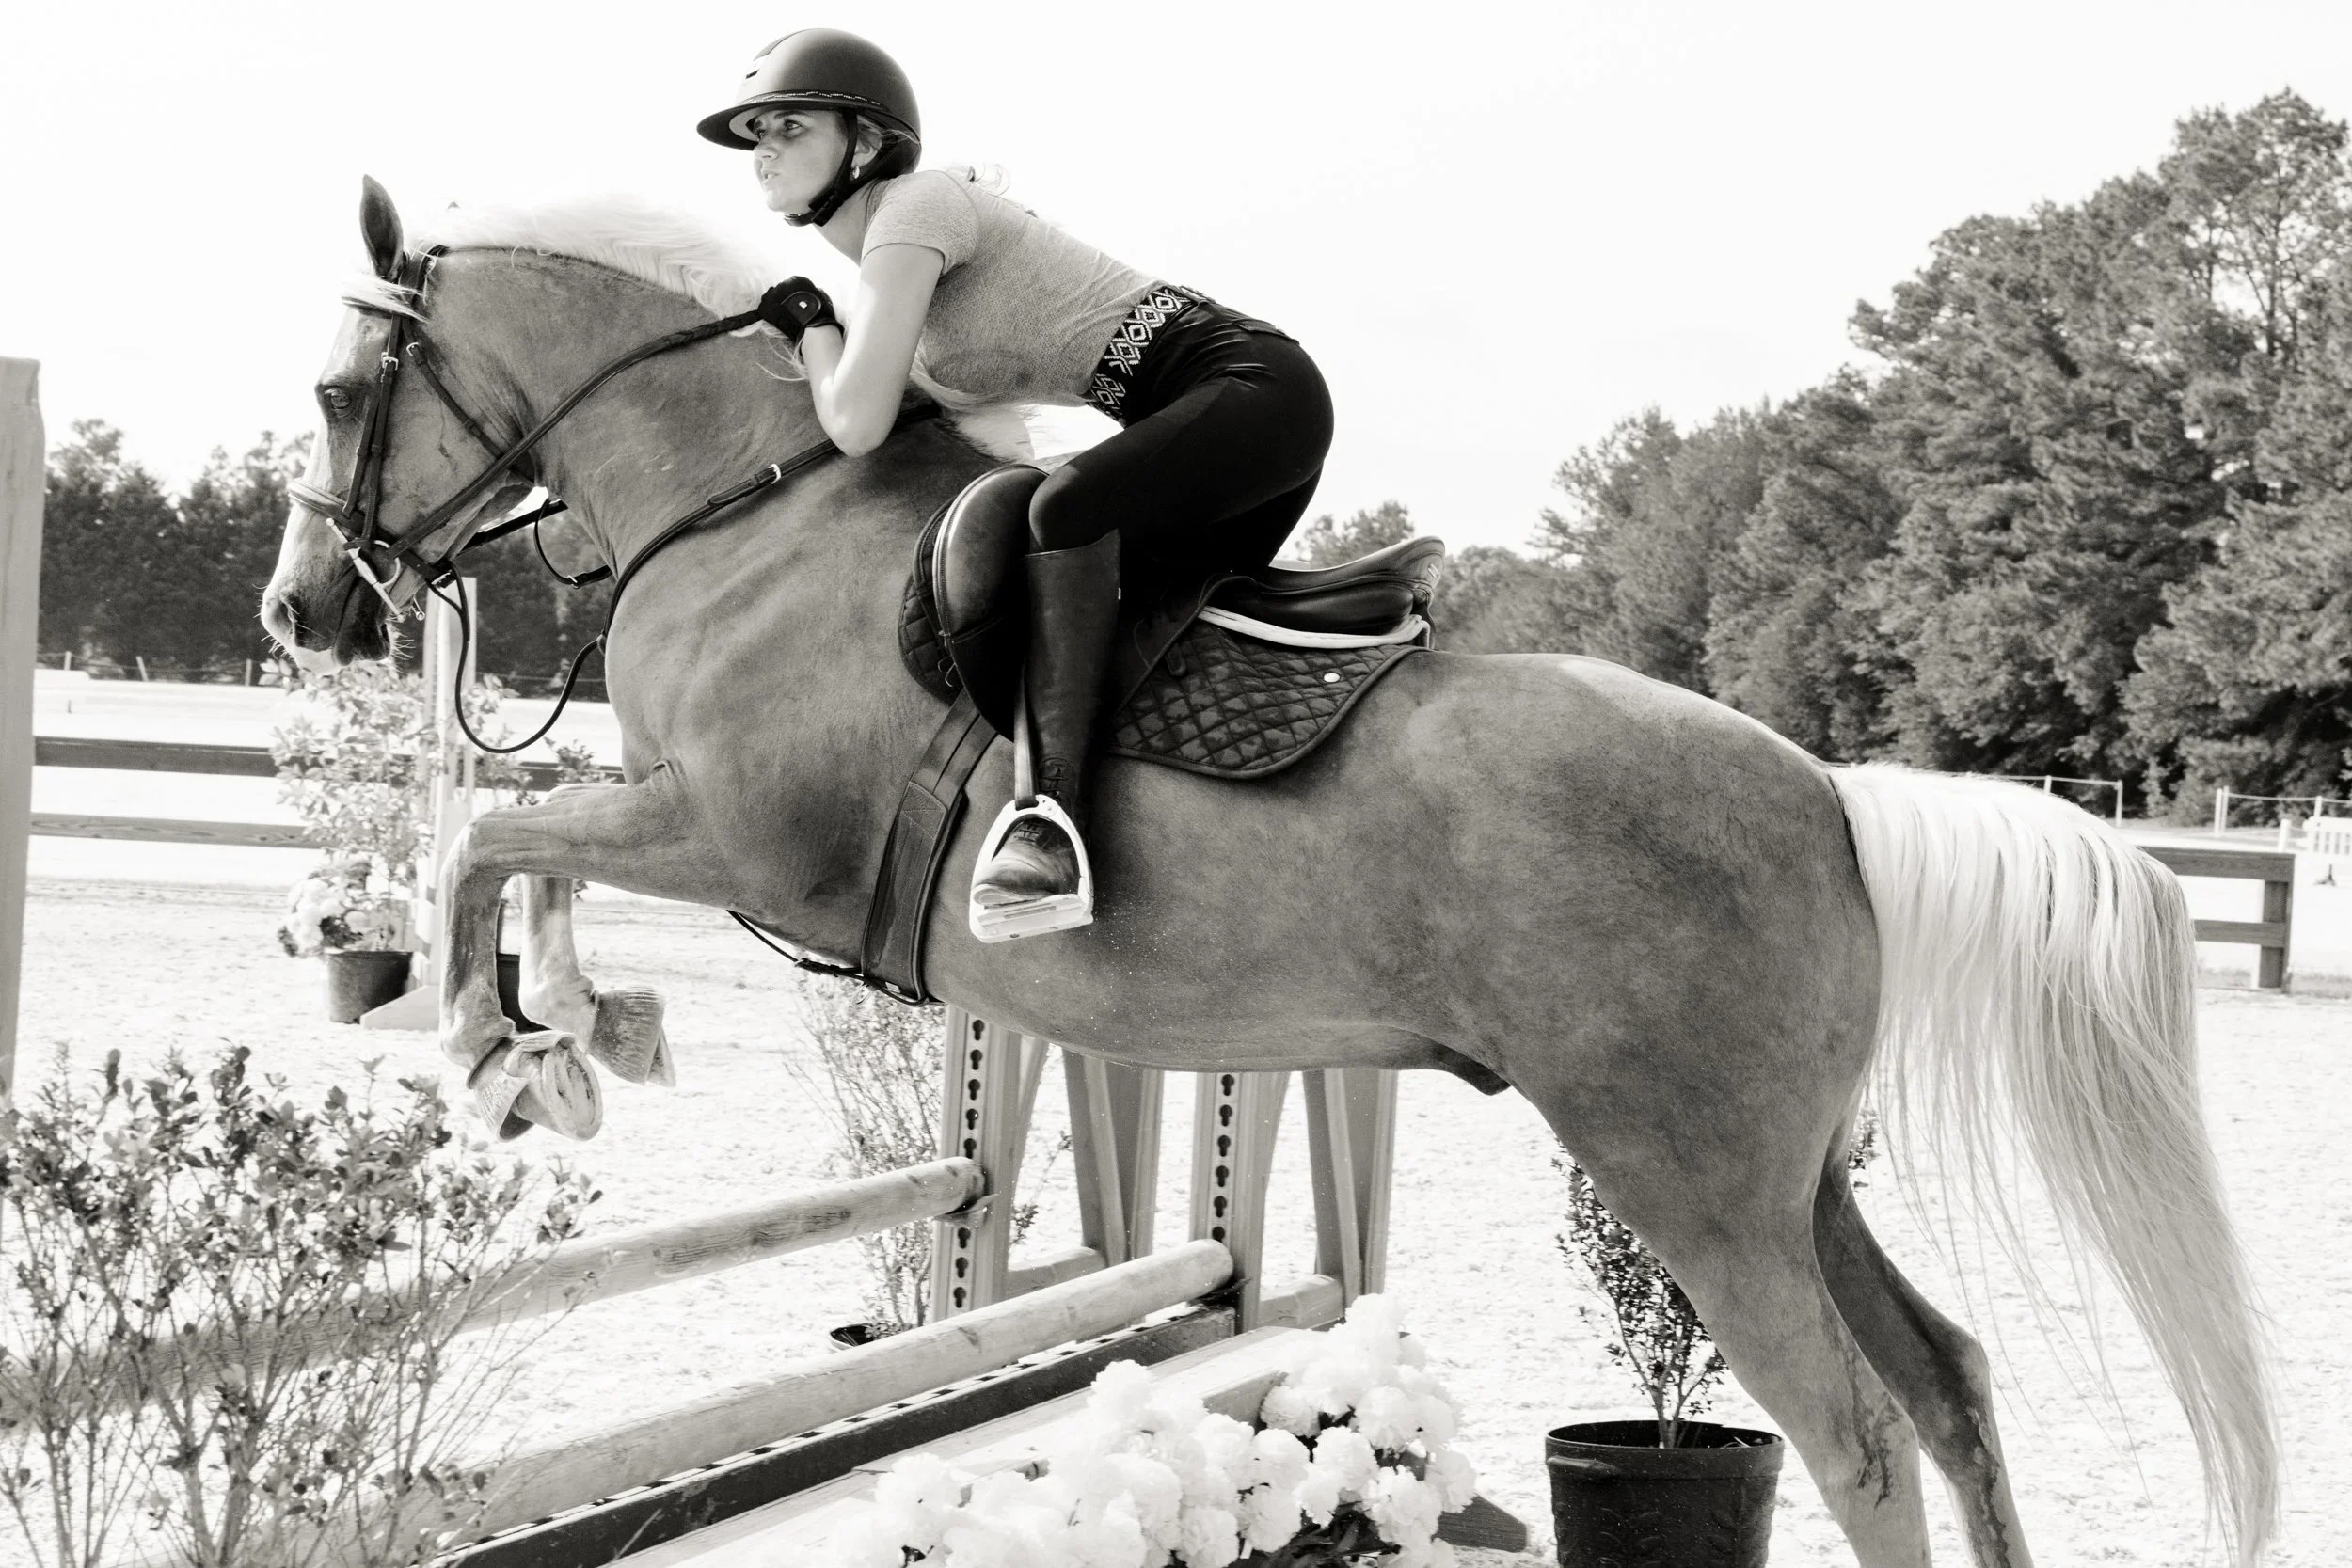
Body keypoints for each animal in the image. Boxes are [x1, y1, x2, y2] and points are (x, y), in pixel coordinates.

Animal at [260, 182, 2275, 1568]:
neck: (746, 506)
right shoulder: (683, 817)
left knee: (1857, 1434)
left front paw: (505, 1041)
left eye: (342, 386)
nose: (297, 609)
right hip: (1790, 1178)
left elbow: (487, 834)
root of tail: (1828, 795)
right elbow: (518, 836)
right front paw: (564, 1031)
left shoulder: (740, 834)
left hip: (1693, 1177)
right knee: (1949, 1383)